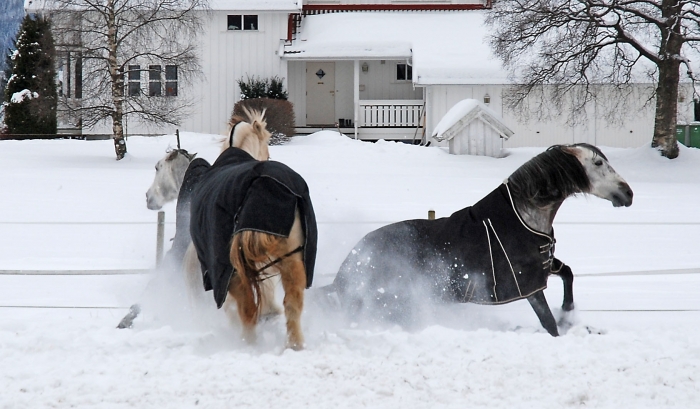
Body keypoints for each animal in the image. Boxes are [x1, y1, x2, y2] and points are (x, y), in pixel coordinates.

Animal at [185, 110, 318, 350]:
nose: (267, 156)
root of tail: (260, 183)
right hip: (293, 259)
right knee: (292, 304)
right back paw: (294, 345)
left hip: (233, 270)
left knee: (247, 310)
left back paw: (249, 343)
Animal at [330, 143, 636, 334]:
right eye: (598, 162)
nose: (628, 193)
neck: (522, 217)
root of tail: (350, 262)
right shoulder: (529, 286)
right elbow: (549, 324)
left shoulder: (544, 265)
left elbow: (568, 274)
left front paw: (568, 313)